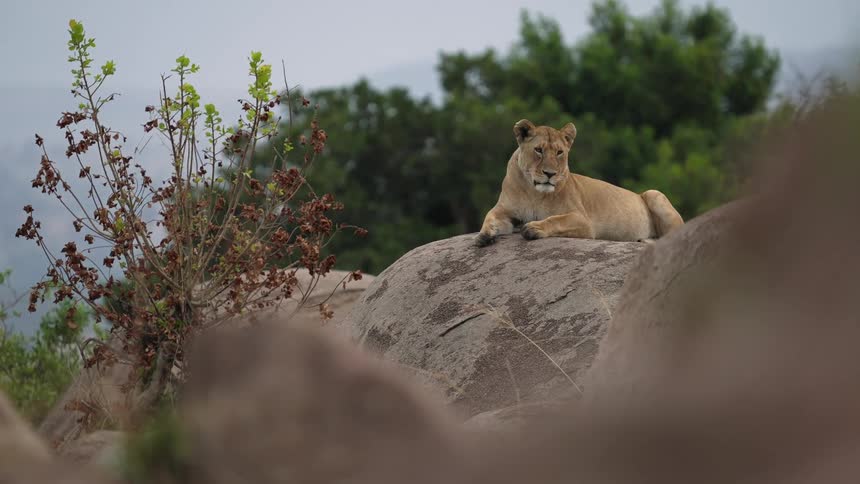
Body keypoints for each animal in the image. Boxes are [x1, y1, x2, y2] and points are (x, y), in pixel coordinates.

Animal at [475, 119, 684, 247]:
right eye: (538, 150)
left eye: (559, 152)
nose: (550, 174)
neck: (533, 191)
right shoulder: (506, 210)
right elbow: (490, 216)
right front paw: (484, 235)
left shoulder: (583, 220)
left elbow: (556, 219)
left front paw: (534, 228)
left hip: (654, 194)